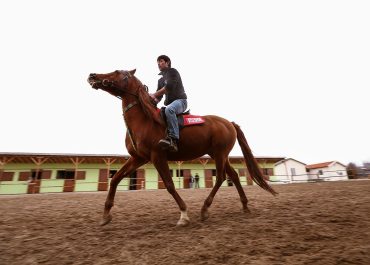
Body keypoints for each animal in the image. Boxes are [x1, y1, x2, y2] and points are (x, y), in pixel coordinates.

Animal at [87, 69, 278, 226]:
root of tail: (229, 123)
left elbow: (170, 185)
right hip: (219, 155)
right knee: (234, 176)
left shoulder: (157, 156)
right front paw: (105, 215)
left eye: (117, 72)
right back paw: (244, 206)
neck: (145, 120)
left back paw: (205, 209)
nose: (93, 76)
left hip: (220, 154)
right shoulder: (138, 158)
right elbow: (115, 178)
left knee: (221, 177)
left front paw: (184, 215)